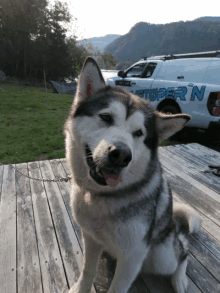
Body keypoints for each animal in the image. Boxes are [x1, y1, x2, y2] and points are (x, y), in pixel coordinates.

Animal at [63, 57, 199, 292]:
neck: (103, 196)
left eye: (138, 133)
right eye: (106, 117)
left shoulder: (132, 257)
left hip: (161, 256)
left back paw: (180, 279)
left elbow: (117, 288)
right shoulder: (90, 238)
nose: (121, 155)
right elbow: (87, 270)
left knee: (183, 253)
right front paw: (80, 288)